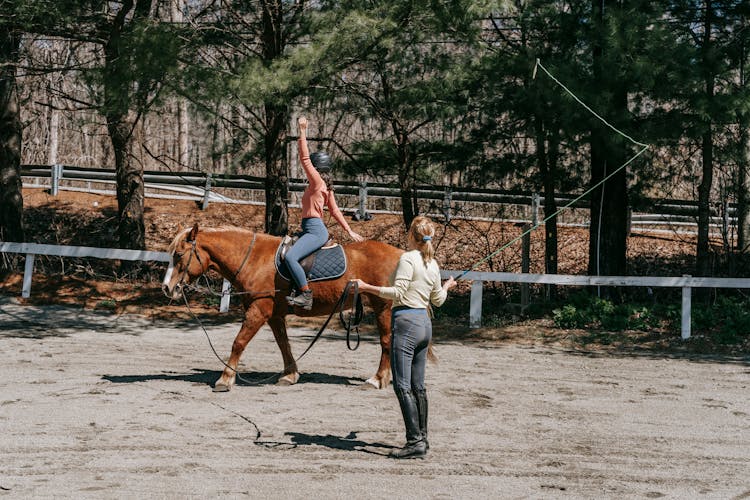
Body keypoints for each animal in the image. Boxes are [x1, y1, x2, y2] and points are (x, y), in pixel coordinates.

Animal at [162, 225, 402, 392]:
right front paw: (290, 375)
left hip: (383, 306)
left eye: (179, 255)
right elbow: (283, 344)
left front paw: (225, 379)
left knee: (386, 341)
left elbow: (238, 342)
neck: (255, 259)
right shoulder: (274, 315)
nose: (167, 288)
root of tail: (400, 254)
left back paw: (378, 379)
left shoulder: (259, 311)